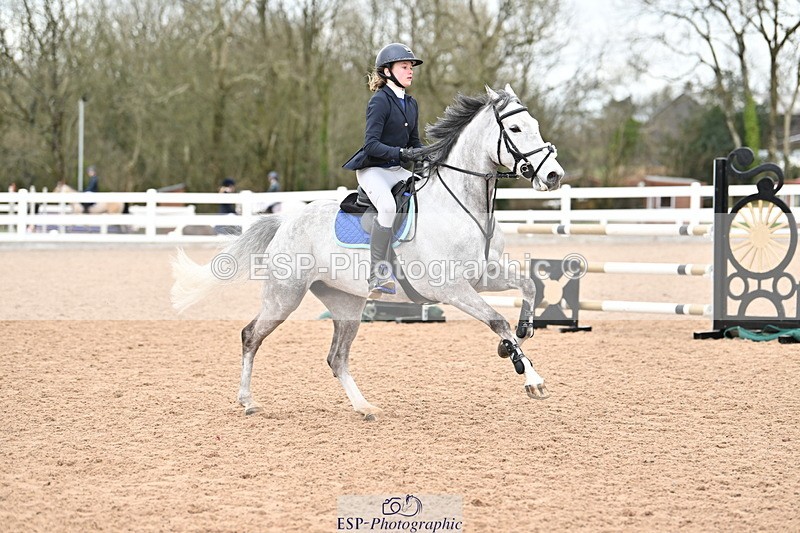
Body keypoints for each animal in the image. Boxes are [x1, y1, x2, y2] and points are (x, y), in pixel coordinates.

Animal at [171, 84, 565, 420]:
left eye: (535, 125)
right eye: (514, 128)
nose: (554, 176)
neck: (462, 206)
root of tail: (286, 221)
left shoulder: (482, 275)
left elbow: (528, 286)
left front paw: (519, 338)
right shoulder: (451, 288)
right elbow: (497, 320)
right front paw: (530, 377)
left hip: (346, 303)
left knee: (337, 358)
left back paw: (364, 407)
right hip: (285, 296)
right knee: (251, 336)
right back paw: (248, 402)